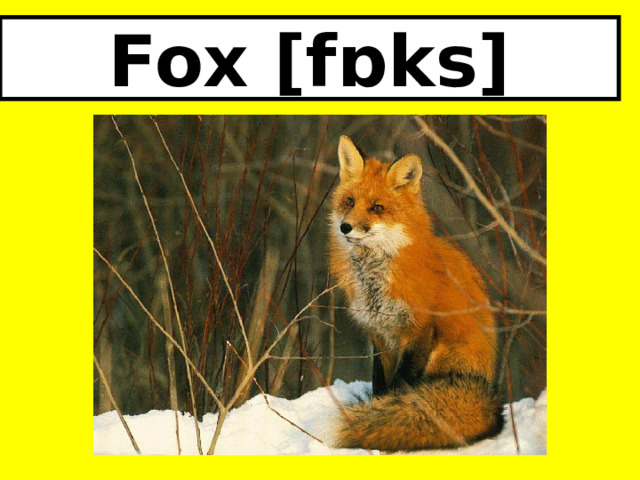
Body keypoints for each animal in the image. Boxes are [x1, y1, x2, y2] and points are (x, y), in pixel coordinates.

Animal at [326, 135, 503, 451]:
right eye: (350, 202)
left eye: (377, 208)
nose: (345, 227)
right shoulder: (379, 334)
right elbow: (381, 386)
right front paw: (376, 412)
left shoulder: (418, 331)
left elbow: (399, 387)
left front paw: (381, 421)